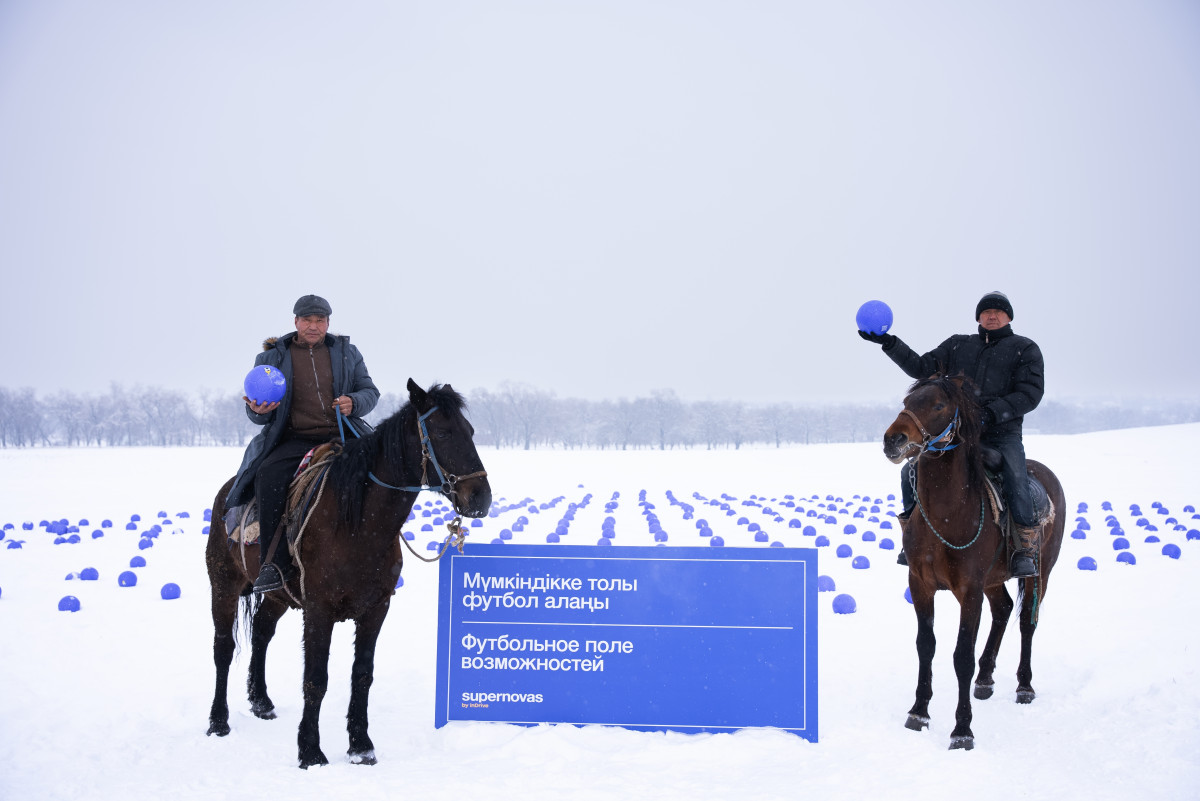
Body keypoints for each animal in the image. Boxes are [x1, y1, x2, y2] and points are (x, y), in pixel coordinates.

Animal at [206, 378, 492, 767]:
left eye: (470, 431)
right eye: (444, 433)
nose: (480, 498)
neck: (356, 521)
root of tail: (227, 492)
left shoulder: (376, 608)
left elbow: (362, 675)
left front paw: (360, 745)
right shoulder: (318, 610)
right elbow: (316, 678)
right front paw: (310, 750)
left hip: (279, 595)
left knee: (262, 633)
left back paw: (261, 701)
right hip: (223, 583)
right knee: (223, 647)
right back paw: (218, 721)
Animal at [883, 376, 1070, 753]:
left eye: (939, 405)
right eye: (908, 401)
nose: (893, 440)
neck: (947, 513)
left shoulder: (969, 590)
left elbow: (961, 656)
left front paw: (962, 730)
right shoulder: (920, 584)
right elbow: (926, 646)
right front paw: (919, 712)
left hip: (1040, 572)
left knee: (1026, 621)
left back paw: (1024, 686)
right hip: (994, 580)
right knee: (1004, 609)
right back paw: (985, 679)